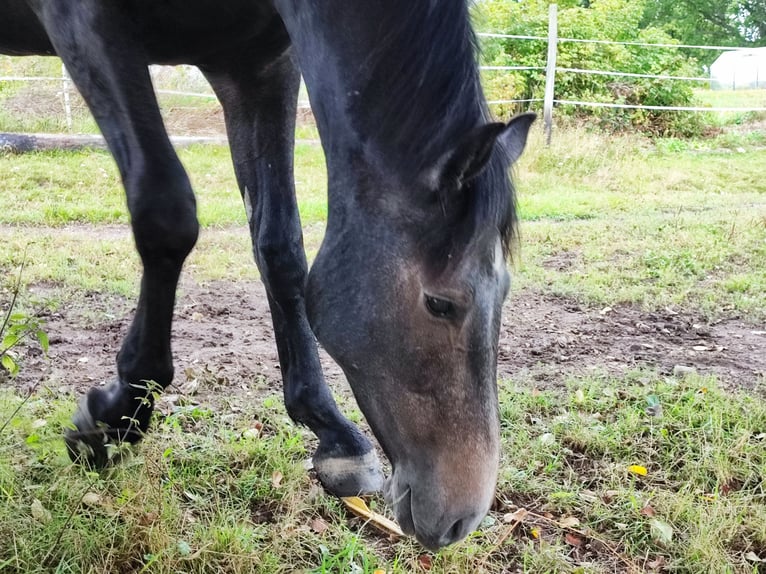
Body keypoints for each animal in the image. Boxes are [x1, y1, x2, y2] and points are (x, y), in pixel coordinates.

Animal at [1, 0, 536, 552]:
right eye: (439, 303)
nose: (461, 519)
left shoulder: (258, 66)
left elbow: (280, 244)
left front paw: (334, 432)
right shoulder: (83, 23)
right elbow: (166, 214)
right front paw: (116, 417)